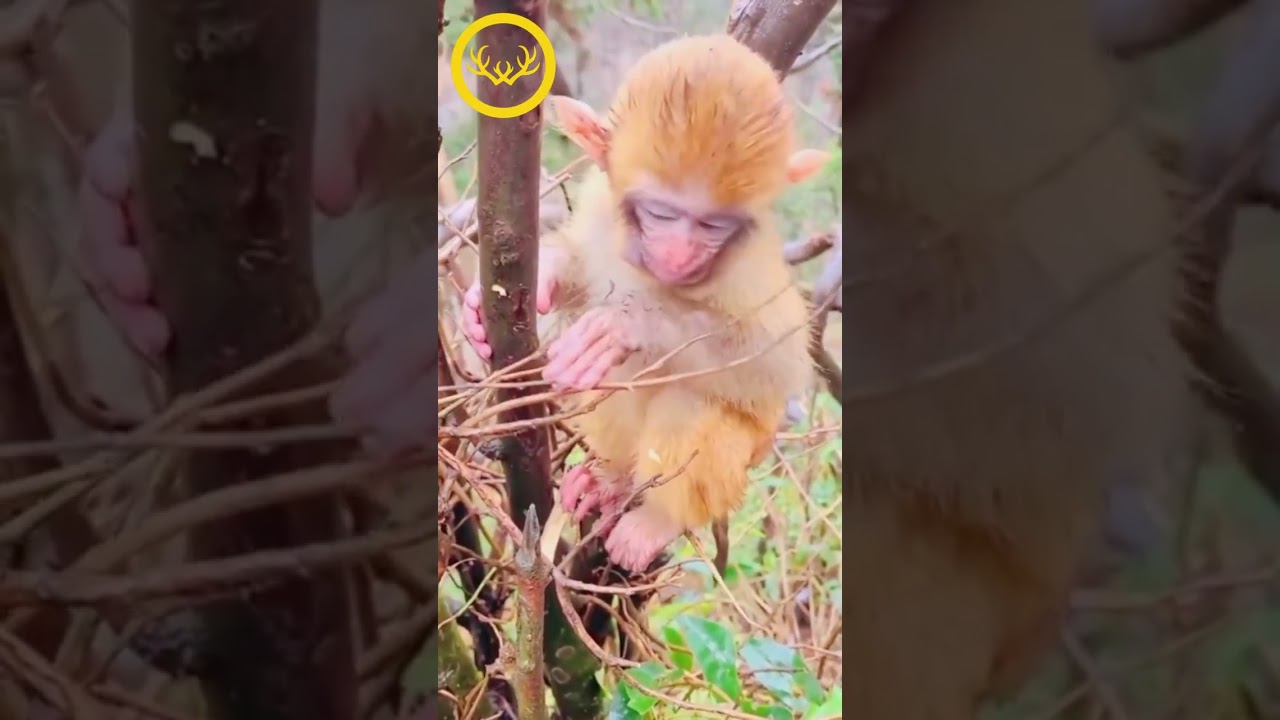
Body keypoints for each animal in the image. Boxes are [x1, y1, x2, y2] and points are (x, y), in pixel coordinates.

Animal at [462, 34, 830, 573]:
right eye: (661, 213)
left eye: (713, 226)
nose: (678, 253)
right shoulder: (601, 204)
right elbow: (579, 268)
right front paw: (526, 284)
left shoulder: (749, 267)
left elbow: (774, 365)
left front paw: (629, 326)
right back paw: (609, 482)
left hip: (742, 464)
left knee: (687, 401)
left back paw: (656, 518)